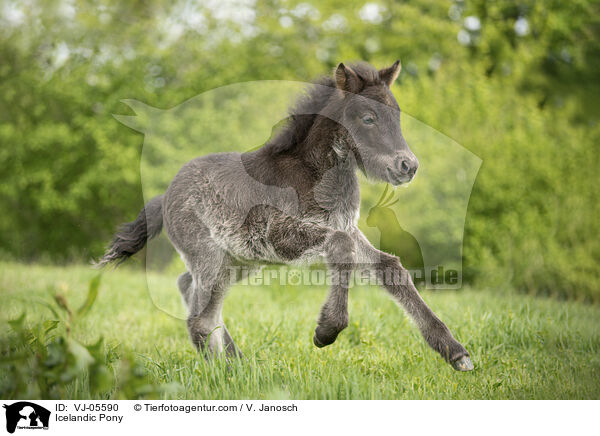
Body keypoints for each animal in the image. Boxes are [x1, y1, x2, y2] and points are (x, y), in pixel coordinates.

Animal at [98, 61, 474, 372]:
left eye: (397, 116)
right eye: (368, 118)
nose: (407, 166)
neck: (314, 173)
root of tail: (164, 197)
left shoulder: (347, 228)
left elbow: (390, 267)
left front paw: (456, 353)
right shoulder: (282, 234)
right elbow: (341, 249)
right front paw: (326, 332)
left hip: (239, 261)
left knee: (189, 289)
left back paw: (237, 364)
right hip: (211, 256)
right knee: (200, 319)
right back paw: (223, 374)